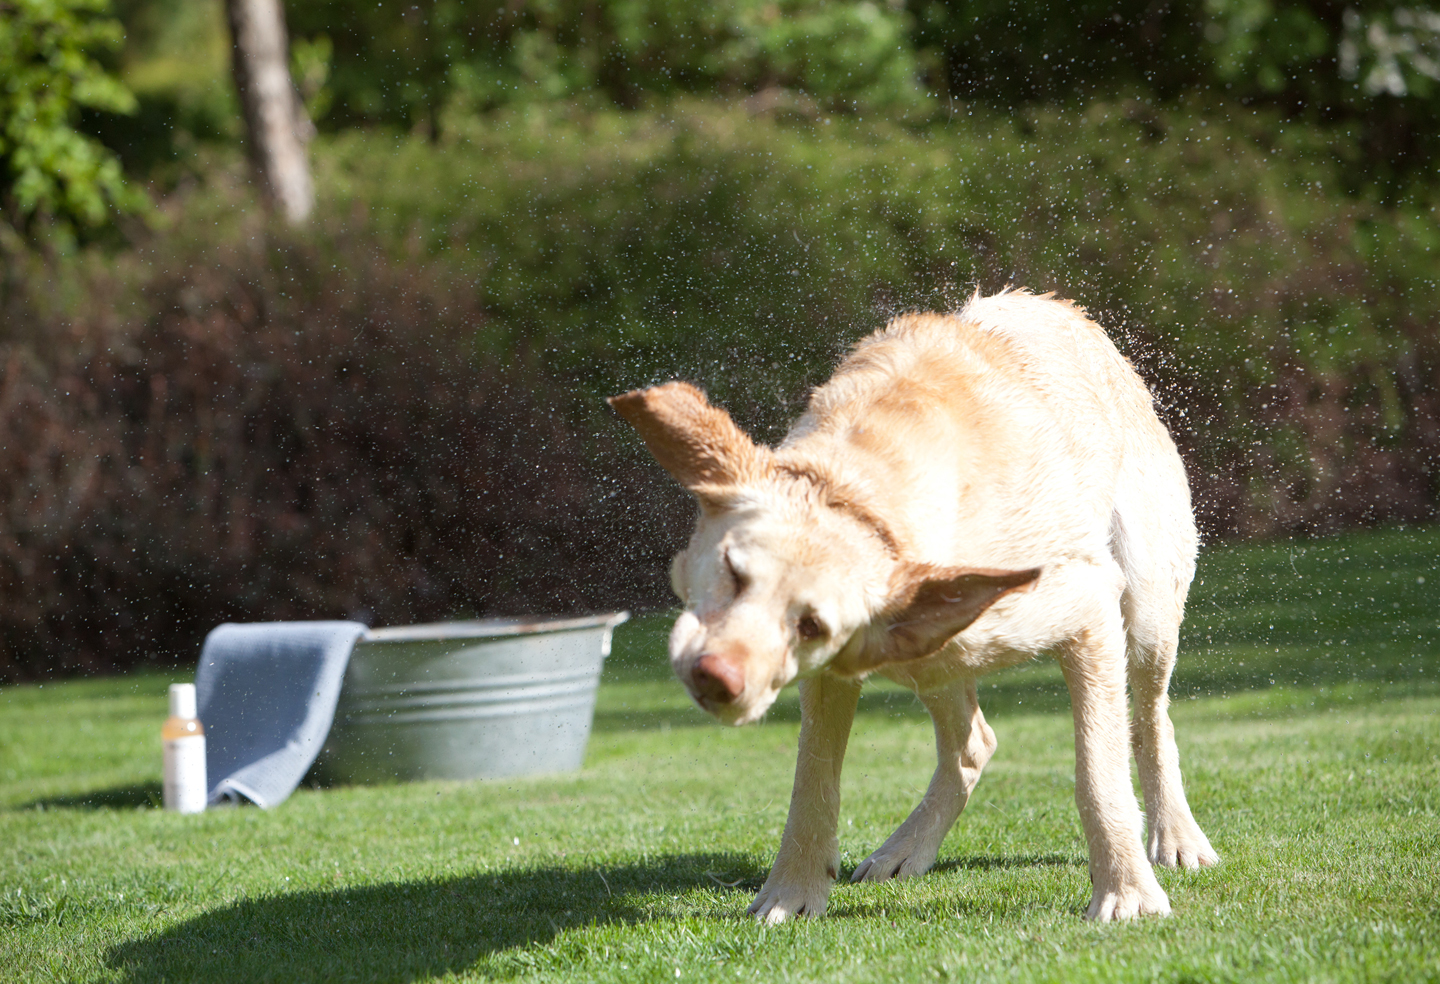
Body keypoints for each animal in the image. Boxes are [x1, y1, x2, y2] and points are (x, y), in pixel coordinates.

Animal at [607, 291, 1215, 922]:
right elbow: (813, 783)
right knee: (974, 743)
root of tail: (1069, 314)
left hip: (1144, 615)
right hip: (938, 656)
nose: (715, 677)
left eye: (810, 624)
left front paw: (1127, 891)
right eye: (732, 569)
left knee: (1150, 722)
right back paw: (906, 849)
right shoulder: (835, 676)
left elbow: (1099, 770)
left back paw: (1176, 836)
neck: (861, 491)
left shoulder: (1087, 610)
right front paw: (792, 892)